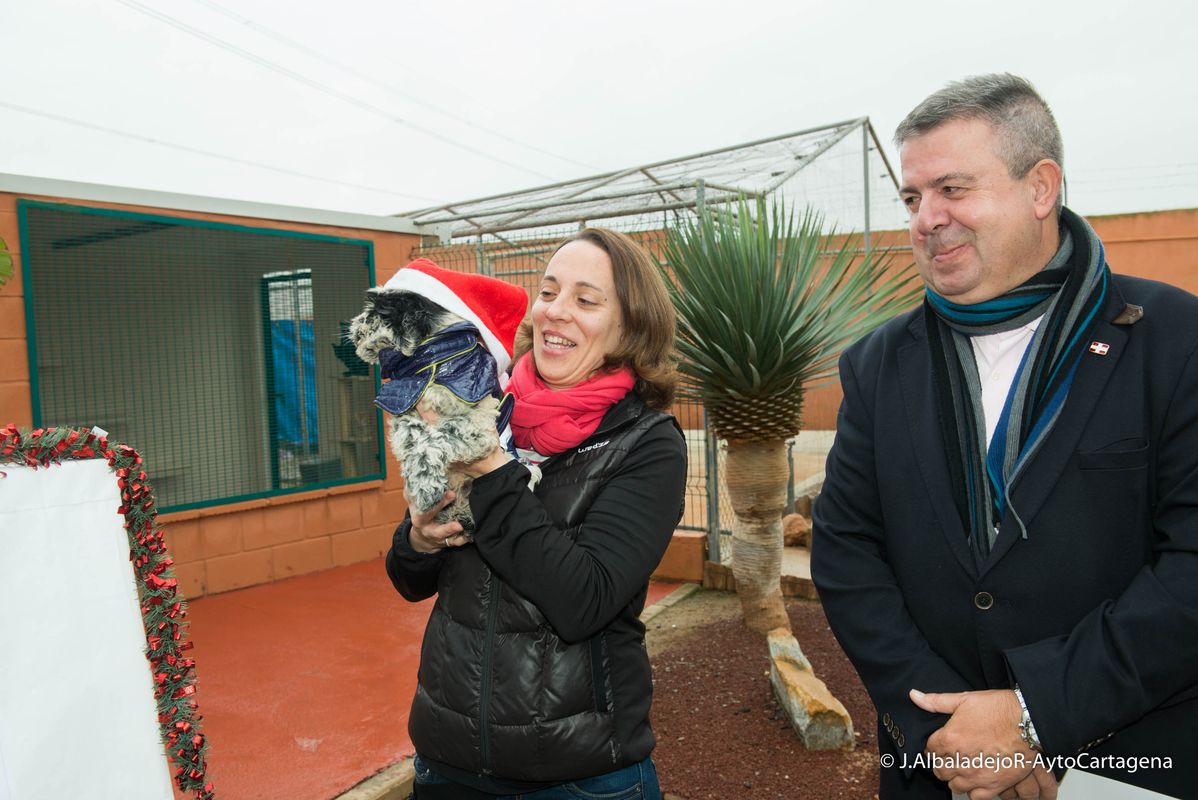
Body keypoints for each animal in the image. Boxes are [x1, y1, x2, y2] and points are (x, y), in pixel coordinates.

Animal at [349, 259, 531, 534]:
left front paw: (427, 490)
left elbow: (439, 437)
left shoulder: (479, 422)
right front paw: (423, 485)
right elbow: (415, 439)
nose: (353, 329)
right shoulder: (406, 410)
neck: (431, 360)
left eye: (374, 314)